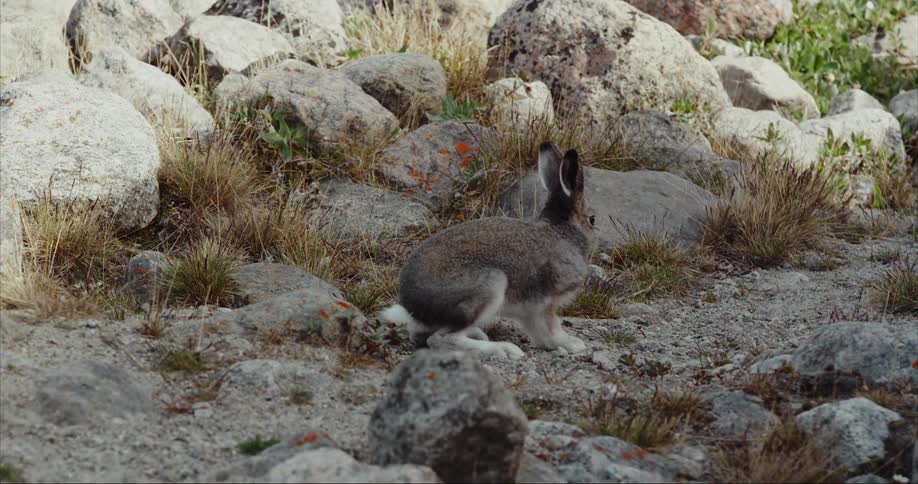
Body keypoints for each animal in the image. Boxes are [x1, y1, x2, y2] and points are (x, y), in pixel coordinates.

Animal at [379, 141, 595, 360]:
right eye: (592, 219)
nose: (594, 225)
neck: (562, 231)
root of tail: (411, 306)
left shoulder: (530, 311)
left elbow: (540, 333)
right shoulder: (546, 302)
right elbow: (552, 327)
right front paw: (572, 344)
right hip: (489, 286)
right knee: (442, 339)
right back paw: (503, 349)